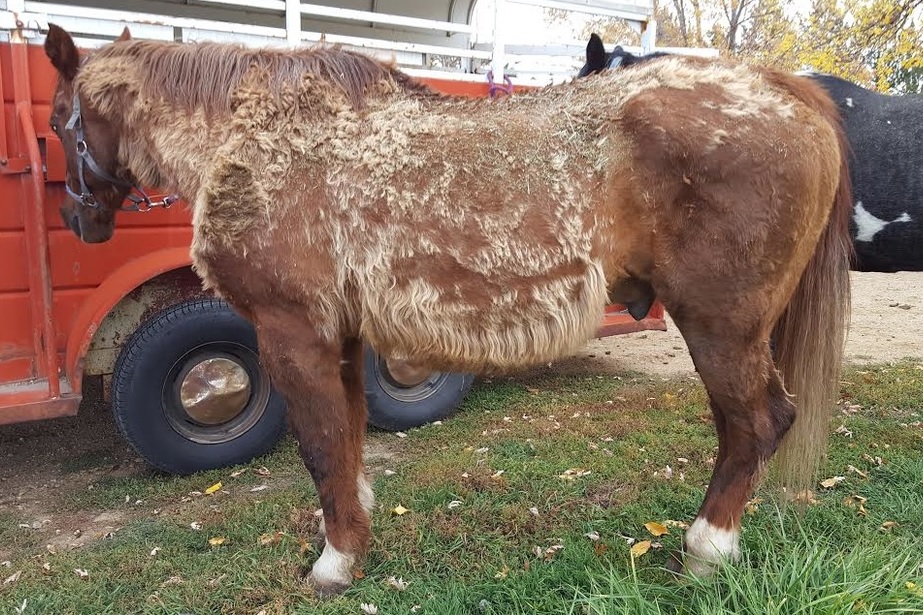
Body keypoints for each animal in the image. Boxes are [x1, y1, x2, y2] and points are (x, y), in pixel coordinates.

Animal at [44, 24, 851, 595]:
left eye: (57, 121)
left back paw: (706, 549)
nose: (79, 219)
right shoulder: (341, 336)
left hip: (721, 325)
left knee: (755, 423)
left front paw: (334, 563)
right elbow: (346, 442)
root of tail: (787, 92)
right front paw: (354, 534)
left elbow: (319, 446)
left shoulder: (291, 332)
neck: (259, 137)